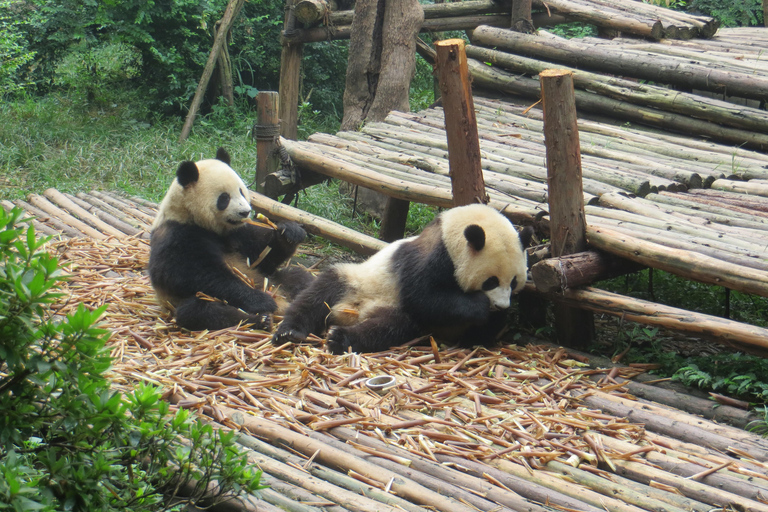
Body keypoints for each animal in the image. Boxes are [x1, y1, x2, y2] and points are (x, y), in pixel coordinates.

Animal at [148, 148, 312, 331]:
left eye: (241, 191)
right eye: (224, 198)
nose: (245, 212)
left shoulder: (238, 233)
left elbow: (261, 258)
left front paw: (290, 232)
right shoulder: (176, 235)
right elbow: (195, 274)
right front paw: (260, 300)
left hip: (275, 281)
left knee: (299, 278)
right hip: (184, 302)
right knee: (201, 311)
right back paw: (261, 319)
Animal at [272, 203, 534, 354]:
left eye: (514, 282)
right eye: (491, 281)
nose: (501, 305)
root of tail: (350, 312)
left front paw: (485, 325)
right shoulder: (432, 256)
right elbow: (425, 297)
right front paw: (478, 306)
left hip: (388, 310)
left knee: (390, 327)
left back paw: (342, 338)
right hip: (356, 280)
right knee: (320, 293)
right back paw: (291, 332)